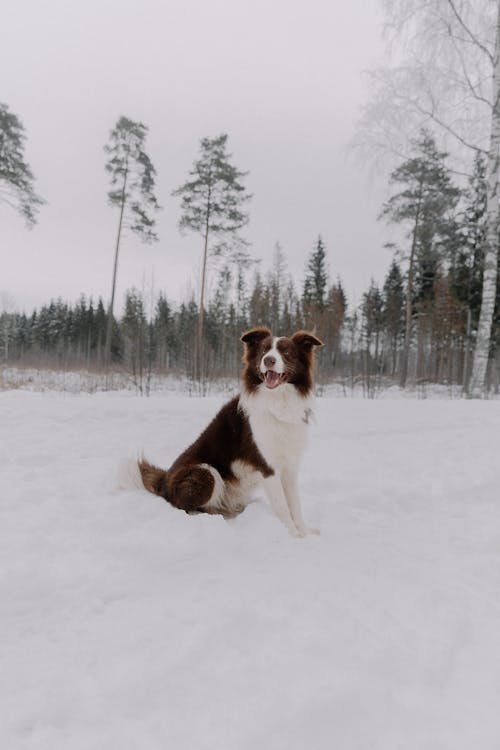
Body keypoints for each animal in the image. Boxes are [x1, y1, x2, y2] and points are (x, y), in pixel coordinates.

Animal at [131, 328, 322, 540]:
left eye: (286, 352)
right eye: (264, 351)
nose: (268, 360)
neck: (278, 401)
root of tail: (164, 480)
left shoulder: (290, 465)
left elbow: (295, 503)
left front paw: (304, 531)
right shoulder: (267, 466)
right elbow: (282, 506)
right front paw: (293, 534)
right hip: (206, 472)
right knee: (185, 505)